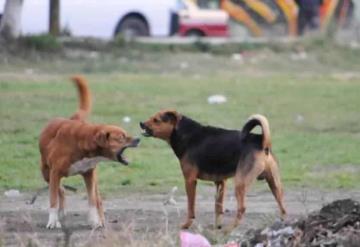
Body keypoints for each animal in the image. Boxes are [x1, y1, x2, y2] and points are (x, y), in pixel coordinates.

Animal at [39, 76, 140, 230]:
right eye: (121, 137)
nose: (139, 139)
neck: (83, 142)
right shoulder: (55, 173)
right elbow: (53, 200)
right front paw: (52, 221)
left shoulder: (89, 174)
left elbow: (92, 201)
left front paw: (94, 221)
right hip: (46, 172)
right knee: (60, 191)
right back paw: (60, 213)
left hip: (92, 179)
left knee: (97, 199)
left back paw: (101, 219)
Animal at [141, 110, 286, 230]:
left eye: (156, 120)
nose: (141, 123)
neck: (187, 135)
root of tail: (260, 140)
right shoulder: (220, 182)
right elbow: (218, 208)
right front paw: (217, 226)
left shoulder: (190, 181)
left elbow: (191, 207)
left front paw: (187, 225)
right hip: (274, 184)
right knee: (283, 207)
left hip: (240, 183)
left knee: (242, 208)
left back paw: (229, 229)